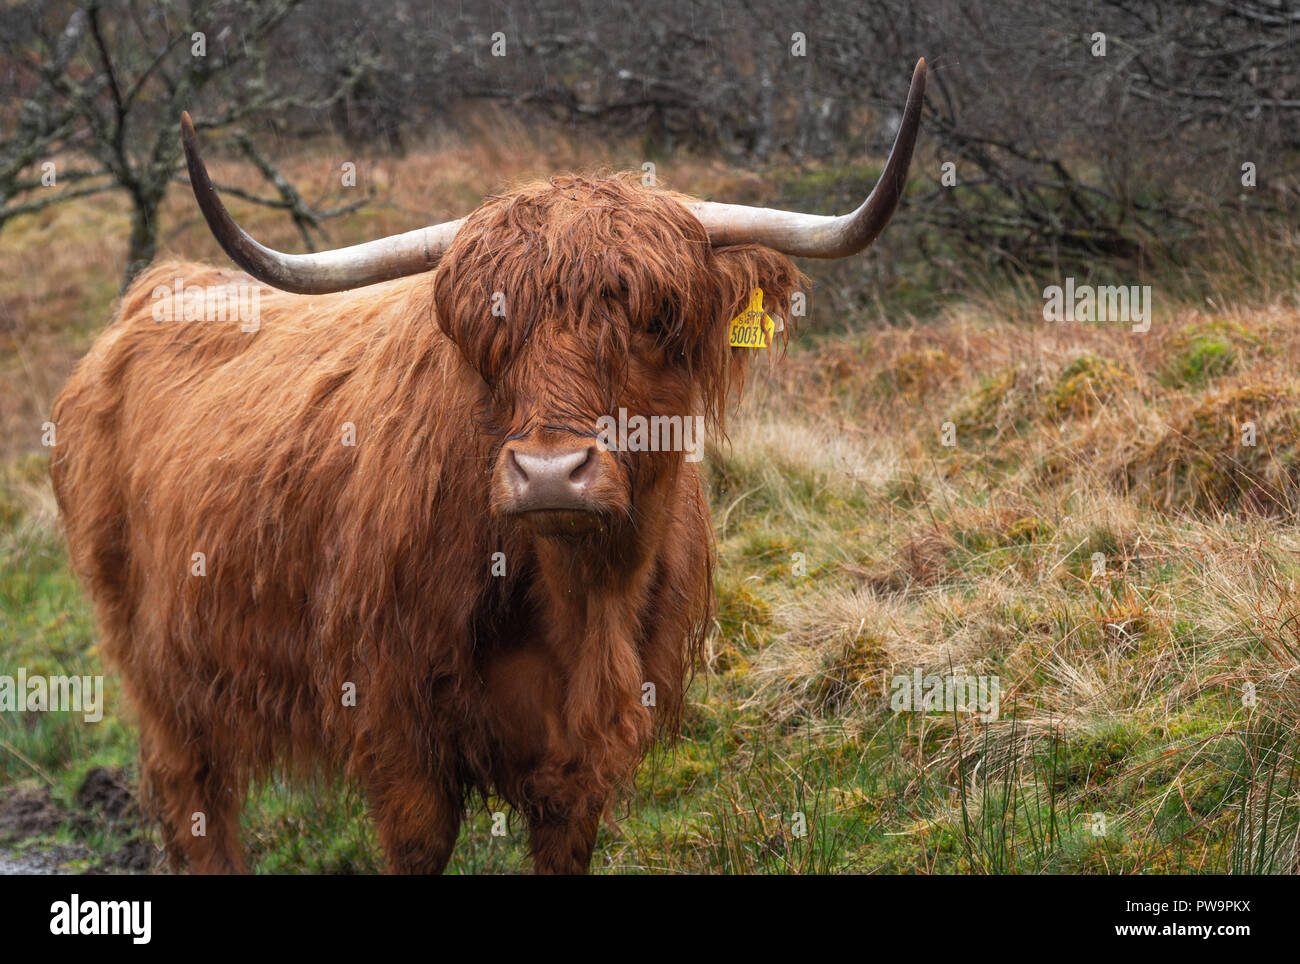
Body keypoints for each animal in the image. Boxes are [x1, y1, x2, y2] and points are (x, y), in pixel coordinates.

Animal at [50, 60, 925, 878]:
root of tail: (159, 289)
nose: (550, 472)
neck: (583, 599)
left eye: (655, 318)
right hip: (160, 673)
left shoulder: (583, 764)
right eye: (486, 334)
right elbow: (417, 844)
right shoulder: (396, 731)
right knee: (196, 803)